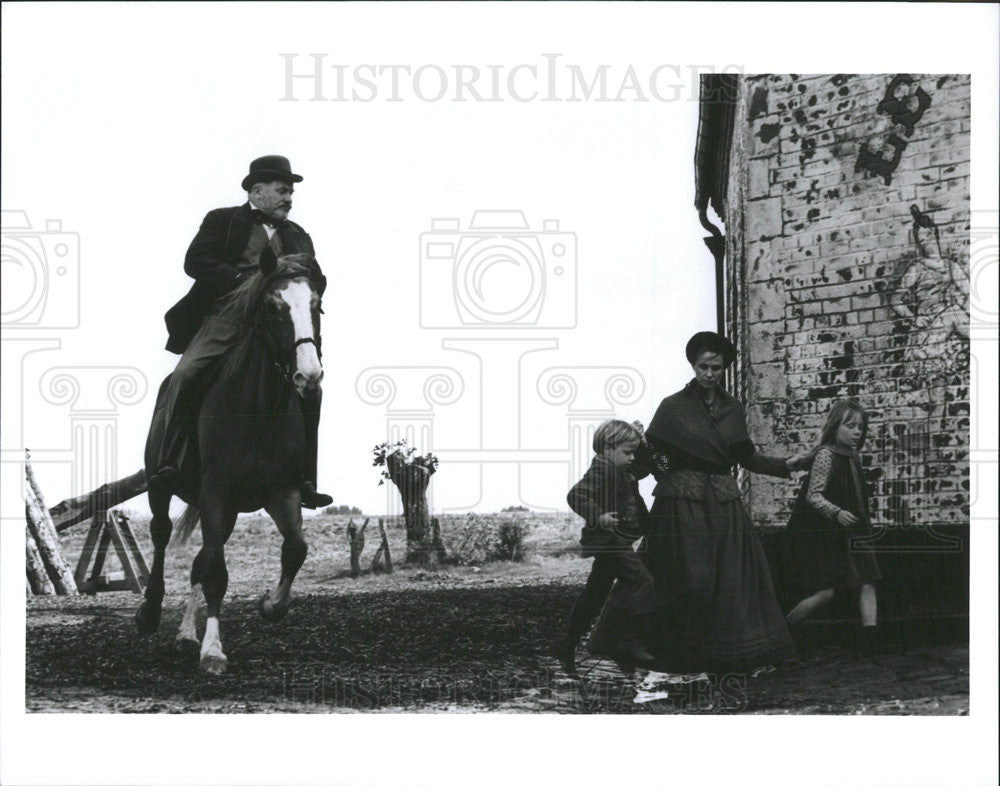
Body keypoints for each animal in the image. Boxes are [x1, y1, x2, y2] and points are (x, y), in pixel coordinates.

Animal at [136, 248, 324, 672]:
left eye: (317, 306)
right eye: (273, 307)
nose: (309, 376)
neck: (259, 410)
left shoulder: (283, 493)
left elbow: (296, 550)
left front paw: (270, 605)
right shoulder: (215, 494)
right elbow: (216, 575)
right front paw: (213, 650)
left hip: (228, 511)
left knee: (200, 560)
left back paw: (185, 635)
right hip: (163, 487)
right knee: (161, 534)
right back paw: (150, 613)